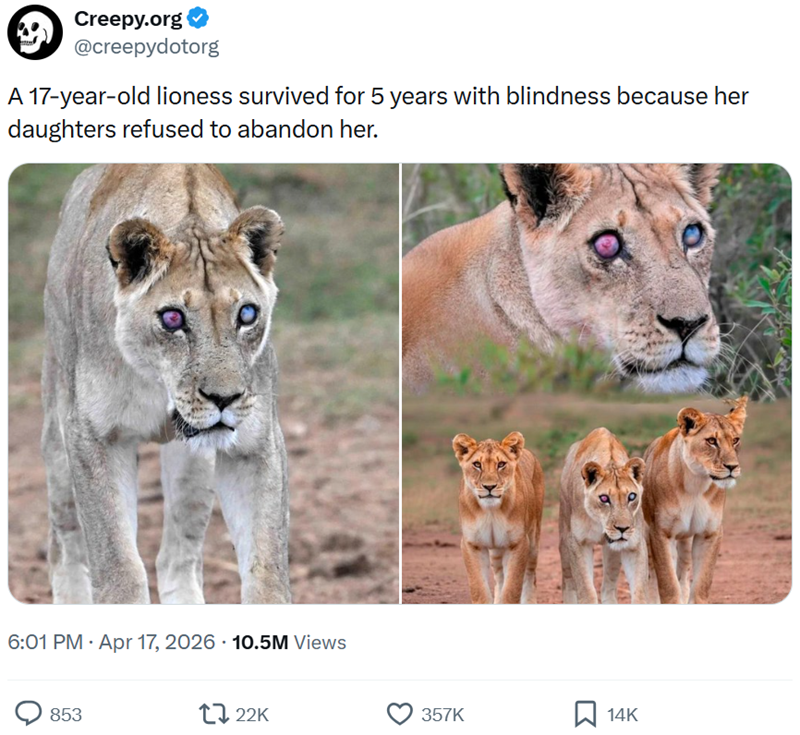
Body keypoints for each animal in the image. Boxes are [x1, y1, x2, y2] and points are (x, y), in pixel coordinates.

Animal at [42, 164, 291, 604]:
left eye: (246, 314)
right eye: (172, 319)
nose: (225, 398)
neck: (160, 384)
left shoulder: (256, 444)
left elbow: (267, 572)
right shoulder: (92, 435)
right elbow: (118, 567)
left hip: (194, 465)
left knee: (178, 557)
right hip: (58, 436)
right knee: (65, 542)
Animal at [452, 431, 544, 603]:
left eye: (501, 464)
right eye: (477, 464)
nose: (489, 487)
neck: (491, 512)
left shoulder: (517, 543)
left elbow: (512, 589)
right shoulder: (472, 544)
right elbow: (479, 589)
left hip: (533, 540)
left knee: (530, 575)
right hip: (496, 550)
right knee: (499, 577)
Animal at [559, 428, 647, 604]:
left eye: (631, 496)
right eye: (604, 498)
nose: (622, 528)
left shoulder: (635, 544)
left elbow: (640, 592)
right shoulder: (578, 542)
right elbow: (586, 590)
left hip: (612, 553)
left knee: (608, 586)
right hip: (564, 540)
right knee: (568, 583)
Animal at [642, 397, 747, 604]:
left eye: (735, 440)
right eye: (712, 441)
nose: (732, 467)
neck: (696, 485)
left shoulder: (710, 533)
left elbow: (701, 585)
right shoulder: (661, 532)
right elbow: (668, 584)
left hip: (685, 539)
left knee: (683, 570)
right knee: (651, 572)